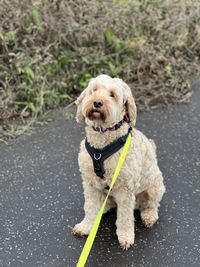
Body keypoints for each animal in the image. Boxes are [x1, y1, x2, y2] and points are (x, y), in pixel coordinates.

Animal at [72, 74, 165, 250]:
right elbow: (90, 207)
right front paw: (86, 226)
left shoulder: (125, 189)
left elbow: (125, 217)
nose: (97, 102)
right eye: (94, 90)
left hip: (154, 186)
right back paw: (104, 207)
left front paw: (125, 237)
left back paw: (149, 215)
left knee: (151, 205)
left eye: (112, 95)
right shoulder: (89, 184)